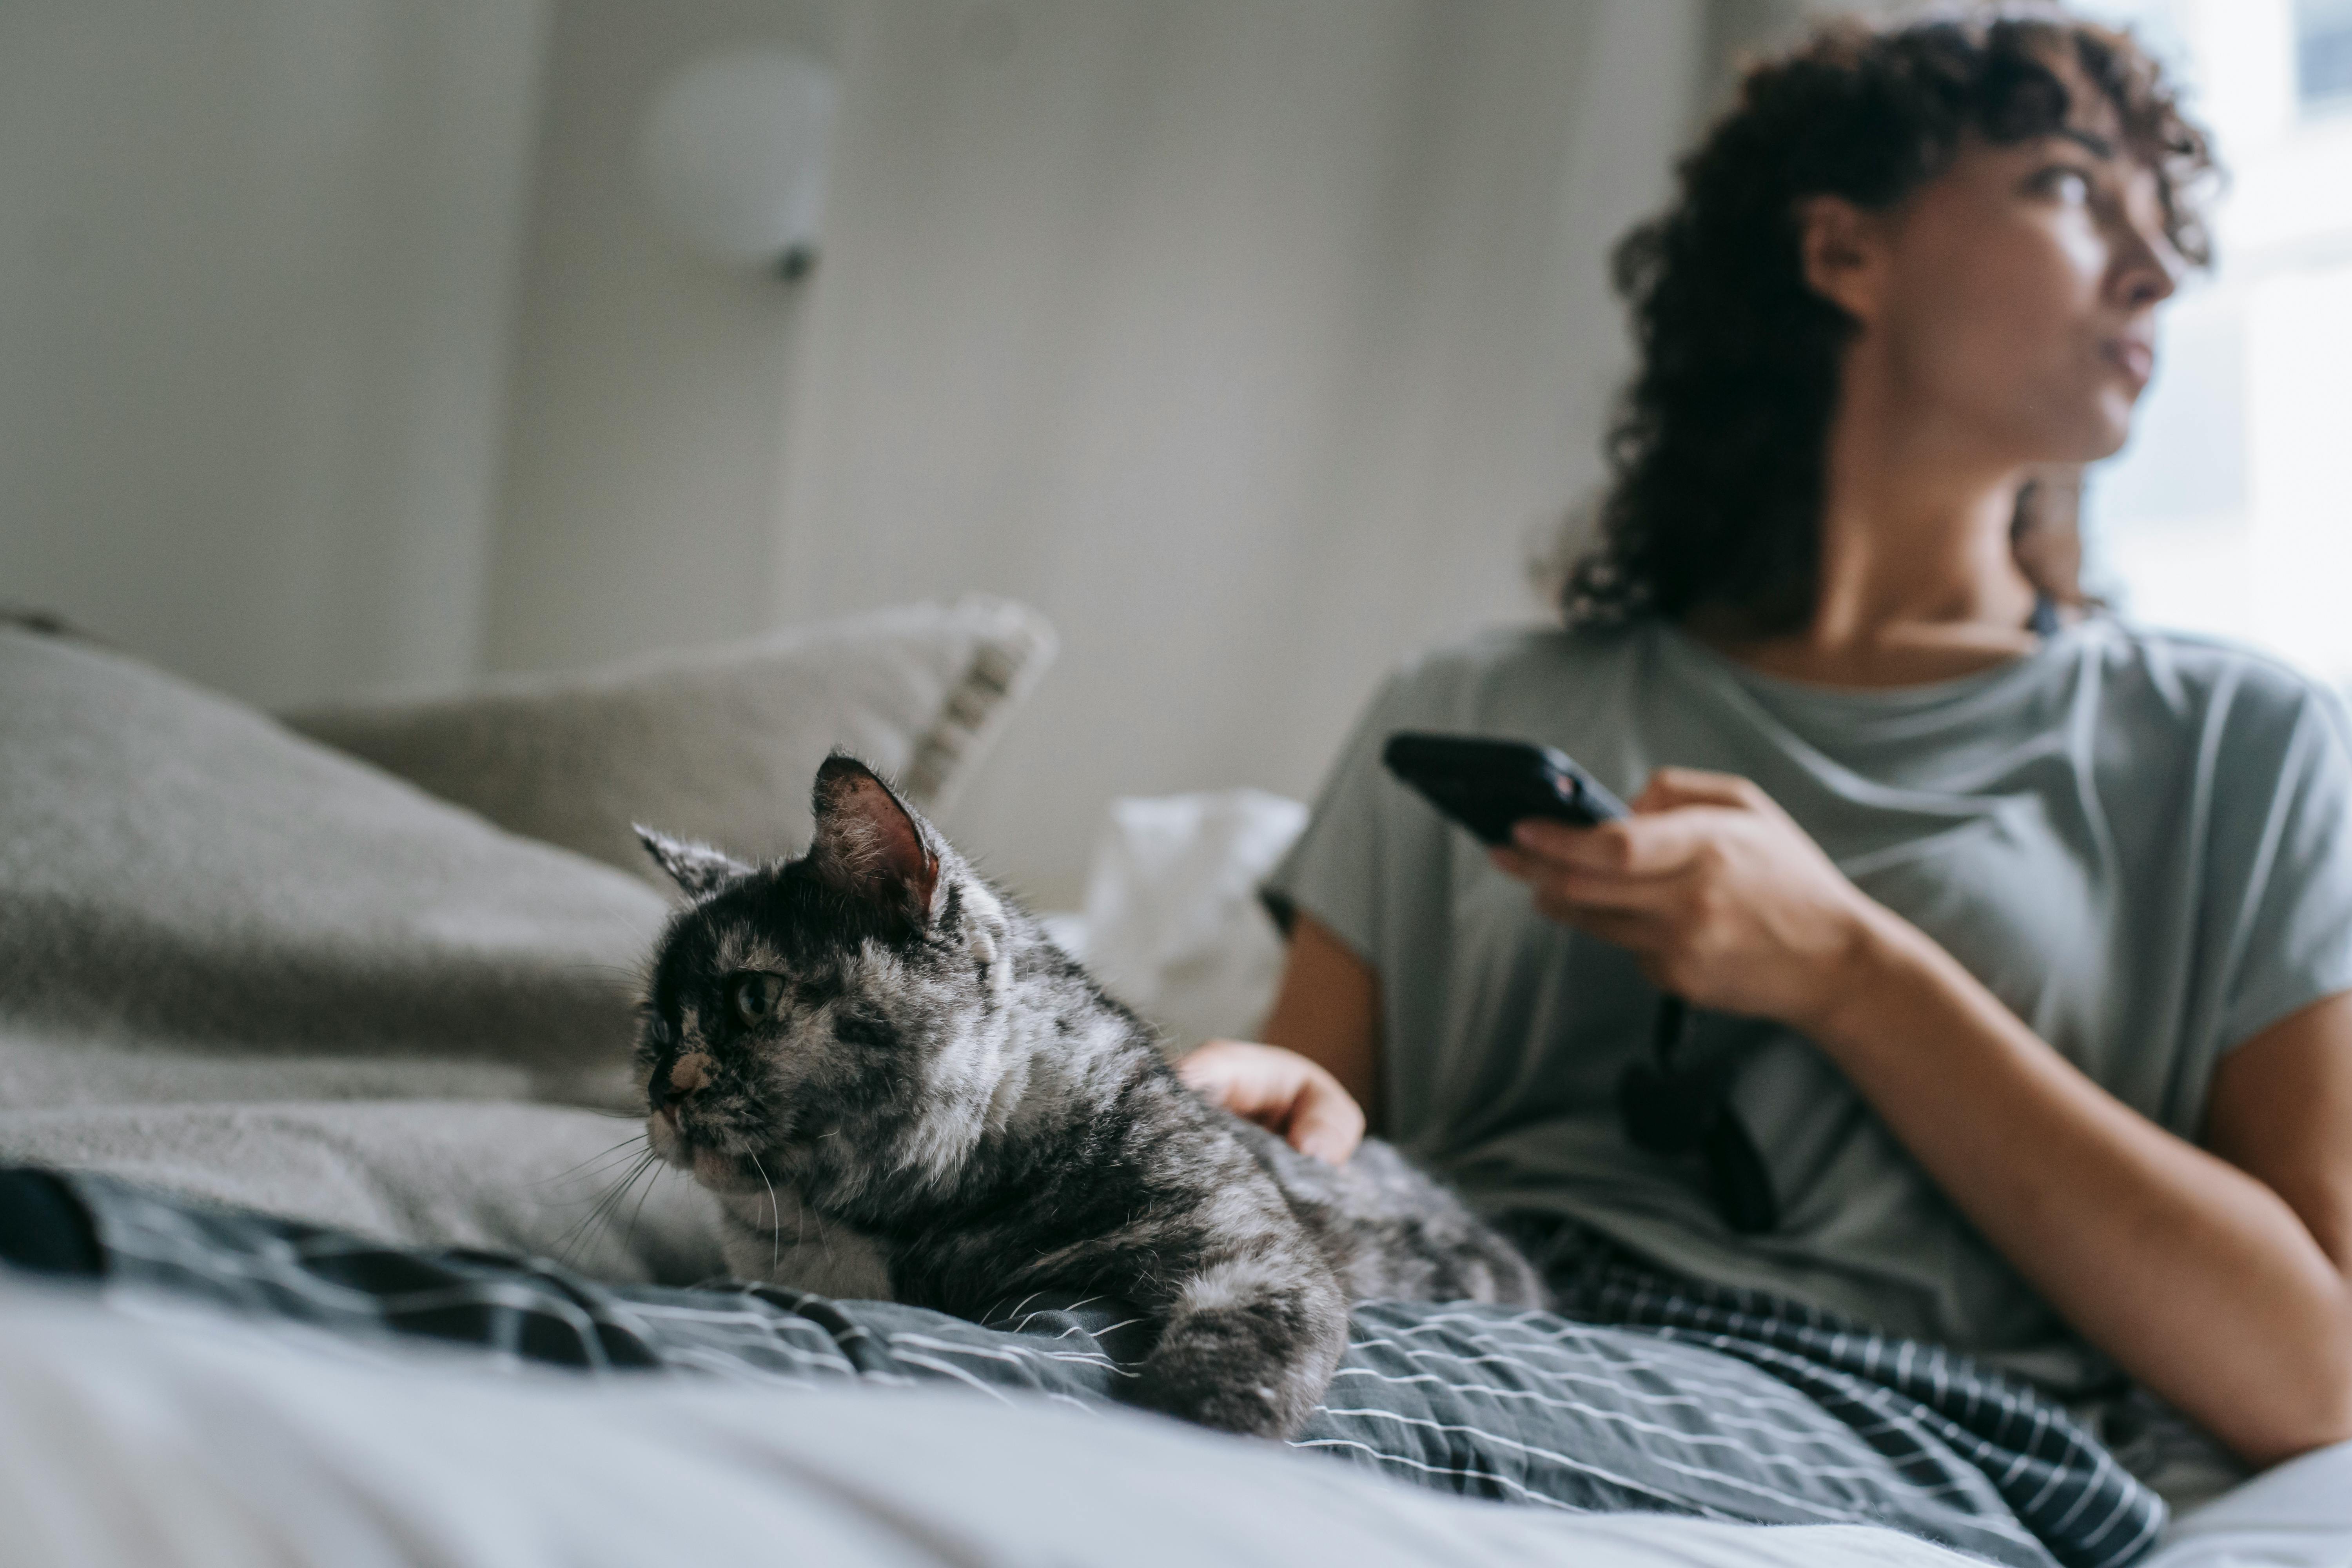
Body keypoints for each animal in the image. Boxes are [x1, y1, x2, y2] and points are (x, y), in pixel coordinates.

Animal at [635, 752, 1543, 1439]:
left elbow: (1215, 1384)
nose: (662, 1089)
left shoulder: (1253, 1258)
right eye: (655, 1027)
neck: (909, 1220)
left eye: (753, 998)